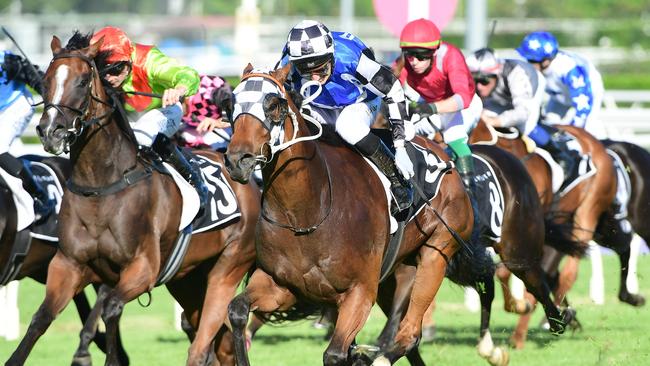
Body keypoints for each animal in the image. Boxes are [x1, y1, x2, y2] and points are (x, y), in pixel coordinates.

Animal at [5, 33, 258, 364]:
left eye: (83, 81)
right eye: (46, 80)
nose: (50, 131)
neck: (100, 187)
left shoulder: (143, 269)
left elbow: (111, 308)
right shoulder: (68, 265)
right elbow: (40, 319)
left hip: (228, 267)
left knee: (209, 338)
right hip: (187, 278)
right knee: (219, 340)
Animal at [225, 64, 468, 364]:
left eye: (273, 105)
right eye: (231, 104)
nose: (238, 160)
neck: (305, 214)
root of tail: (443, 156)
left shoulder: (359, 292)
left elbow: (335, 354)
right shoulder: (281, 286)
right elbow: (237, 310)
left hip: (437, 250)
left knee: (410, 332)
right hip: (398, 273)